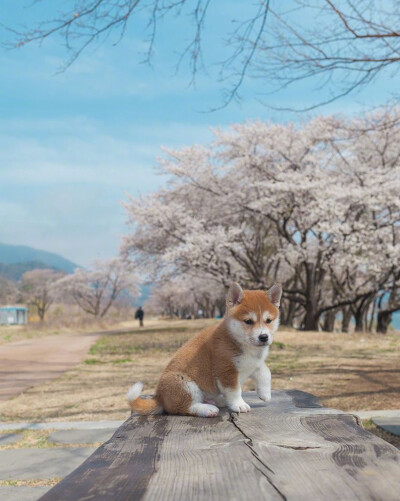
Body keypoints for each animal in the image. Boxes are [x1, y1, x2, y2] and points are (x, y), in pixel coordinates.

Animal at [126, 284, 282, 416]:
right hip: (185, 384)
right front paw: (239, 404)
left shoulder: (254, 363)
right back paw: (207, 409)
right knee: (182, 408)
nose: (263, 337)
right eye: (248, 321)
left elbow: (266, 372)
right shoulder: (226, 371)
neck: (239, 342)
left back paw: (219, 401)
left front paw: (265, 393)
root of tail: (160, 398)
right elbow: (235, 391)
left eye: (268, 320)